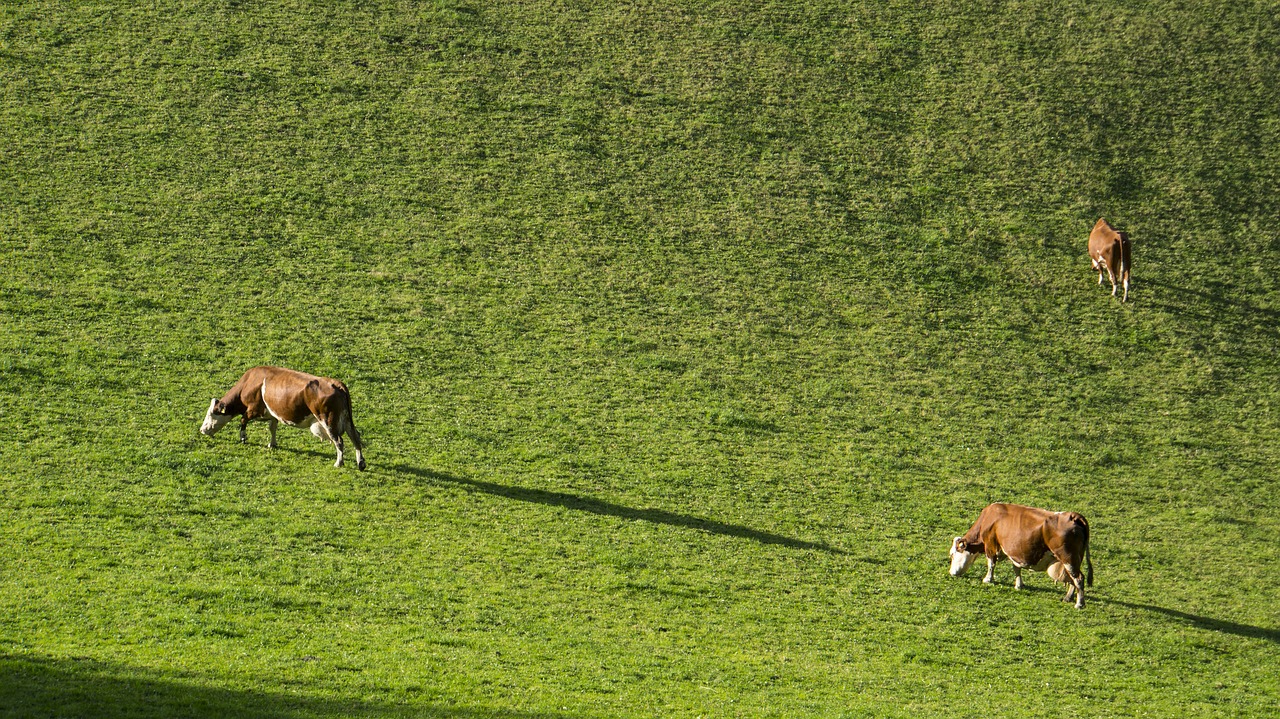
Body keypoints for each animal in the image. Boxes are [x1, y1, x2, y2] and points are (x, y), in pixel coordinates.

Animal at [199, 363, 368, 470]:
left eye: (211, 414)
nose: (202, 430)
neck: (249, 383)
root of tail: (336, 383)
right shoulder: (273, 413)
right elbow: (272, 427)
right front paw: (272, 444)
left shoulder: (253, 409)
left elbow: (243, 420)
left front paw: (243, 438)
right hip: (346, 420)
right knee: (355, 438)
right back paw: (361, 463)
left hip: (328, 420)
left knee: (339, 441)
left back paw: (339, 463)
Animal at [947, 501, 1095, 606]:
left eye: (953, 554)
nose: (951, 573)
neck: (989, 519)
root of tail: (1073, 516)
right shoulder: (1015, 552)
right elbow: (1016, 569)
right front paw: (1019, 585)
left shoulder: (990, 545)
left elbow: (991, 564)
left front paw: (988, 579)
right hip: (1073, 560)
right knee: (1073, 579)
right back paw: (1068, 598)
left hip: (1068, 558)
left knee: (1078, 578)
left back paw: (1079, 604)